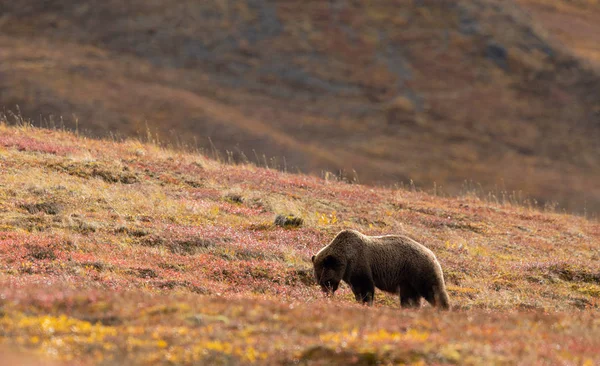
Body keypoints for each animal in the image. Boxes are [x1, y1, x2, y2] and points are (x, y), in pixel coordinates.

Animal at [312, 229, 448, 308]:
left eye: (327, 281)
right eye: (319, 281)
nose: (327, 294)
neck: (347, 258)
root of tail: (432, 255)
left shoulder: (360, 264)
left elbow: (364, 287)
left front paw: (366, 302)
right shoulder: (350, 273)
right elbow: (357, 289)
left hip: (419, 270)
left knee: (433, 290)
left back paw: (443, 308)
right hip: (407, 280)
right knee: (410, 297)